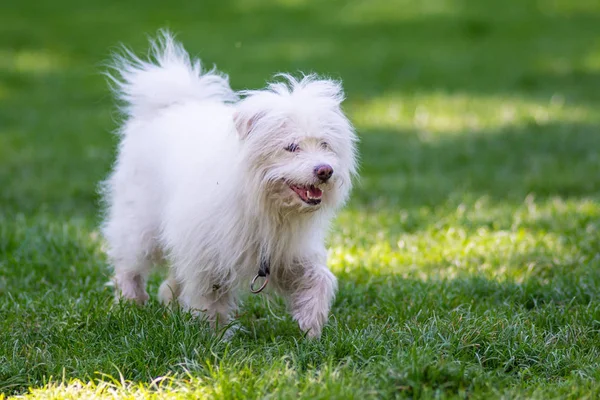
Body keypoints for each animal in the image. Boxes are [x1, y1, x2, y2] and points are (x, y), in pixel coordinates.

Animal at [101, 32, 358, 338]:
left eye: (325, 144)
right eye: (292, 147)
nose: (324, 170)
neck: (263, 203)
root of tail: (170, 105)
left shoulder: (287, 253)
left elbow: (319, 278)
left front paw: (311, 322)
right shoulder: (209, 252)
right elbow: (211, 296)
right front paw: (215, 335)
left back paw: (168, 298)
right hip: (141, 223)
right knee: (129, 264)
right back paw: (130, 301)